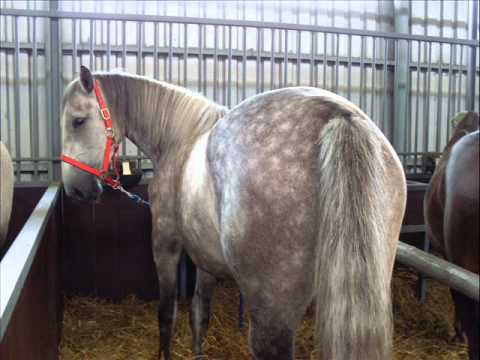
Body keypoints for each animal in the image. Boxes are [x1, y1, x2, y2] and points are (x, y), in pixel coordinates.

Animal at [60, 65, 404, 360]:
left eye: (78, 121)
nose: (75, 189)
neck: (180, 139)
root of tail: (337, 116)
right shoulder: (205, 259)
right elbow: (200, 315)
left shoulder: (165, 242)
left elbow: (167, 315)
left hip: (272, 313)